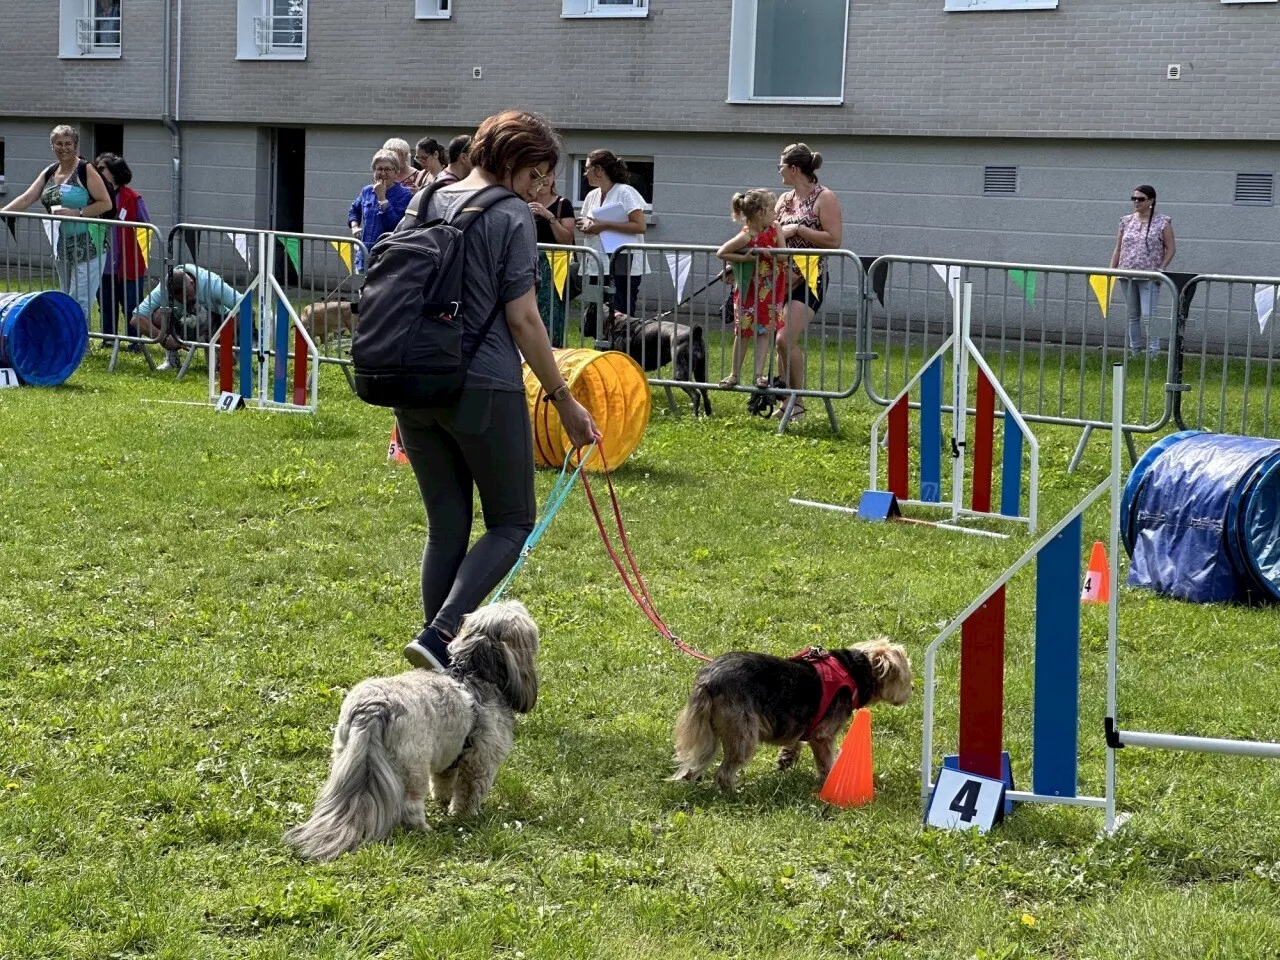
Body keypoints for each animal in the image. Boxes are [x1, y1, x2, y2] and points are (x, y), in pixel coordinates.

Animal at [282, 601, 537, 865]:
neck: (473, 673)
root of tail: (374, 707)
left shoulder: (450, 756)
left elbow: (444, 780)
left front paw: (443, 800)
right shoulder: (480, 759)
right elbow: (469, 791)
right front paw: (465, 816)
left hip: (345, 753)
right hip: (413, 767)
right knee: (409, 806)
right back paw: (422, 830)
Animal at [670, 642, 911, 793]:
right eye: (907, 678)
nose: (913, 690)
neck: (853, 672)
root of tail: (708, 680)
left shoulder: (802, 724)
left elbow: (795, 741)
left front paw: (787, 757)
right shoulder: (823, 736)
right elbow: (826, 762)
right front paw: (830, 783)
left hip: (710, 731)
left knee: (695, 765)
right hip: (743, 734)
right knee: (723, 772)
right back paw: (736, 793)